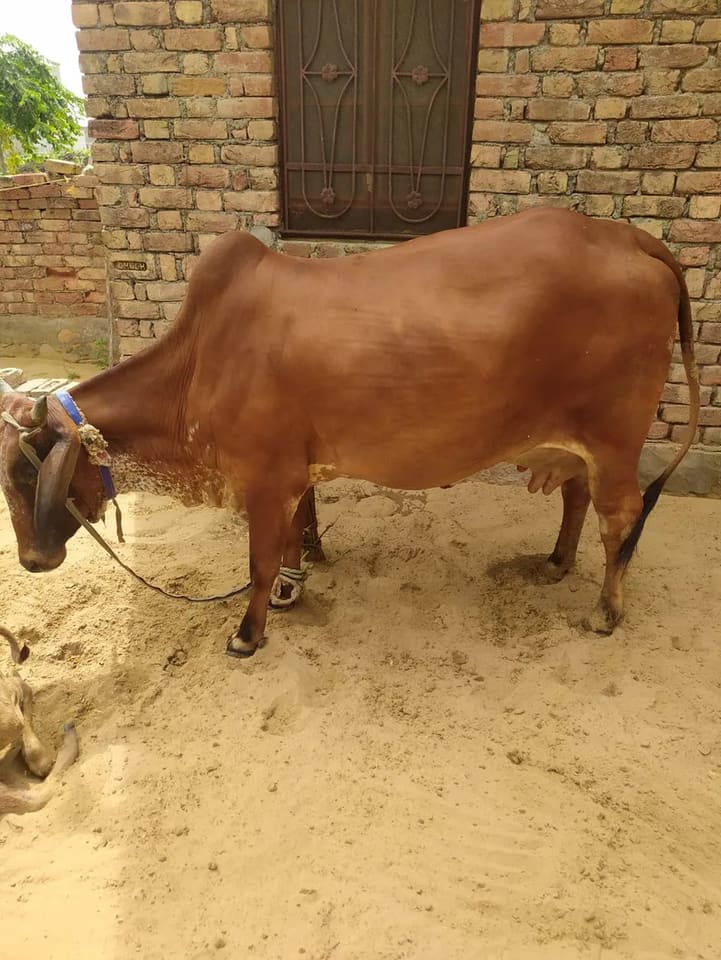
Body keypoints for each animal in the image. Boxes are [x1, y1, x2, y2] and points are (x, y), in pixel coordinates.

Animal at [0, 208, 699, 658]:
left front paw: (248, 633)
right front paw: (296, 583)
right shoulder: (292, 473)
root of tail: (631, 236)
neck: (197, 363)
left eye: (26, 473)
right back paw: (555, 563)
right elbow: (292, 539)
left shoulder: (264, 477)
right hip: (577, 443)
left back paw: (606, 611)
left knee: (620, 517)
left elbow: (258, 562)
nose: (32, 562)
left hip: (614, 440)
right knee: (578, 498)